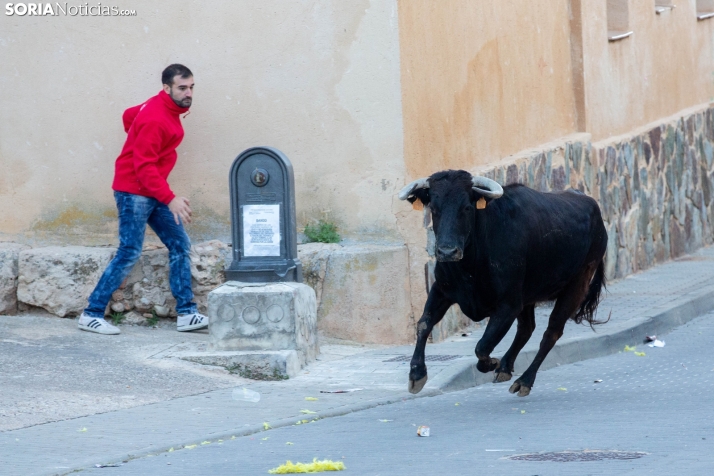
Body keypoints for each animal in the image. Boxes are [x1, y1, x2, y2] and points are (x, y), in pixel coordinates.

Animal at [398, 169, 604, 396]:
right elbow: (424, 324)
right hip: (528, 295)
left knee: (551, 332)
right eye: (434, 208)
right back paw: (505, 368)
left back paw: (524, 381)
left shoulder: (508, 305)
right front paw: (416, 374)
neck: (470, 266)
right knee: (527, 328)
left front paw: (490, 364)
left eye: (467, 207)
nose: (447, 252)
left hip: (577, 285)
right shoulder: (442, 290)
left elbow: (482, 345)